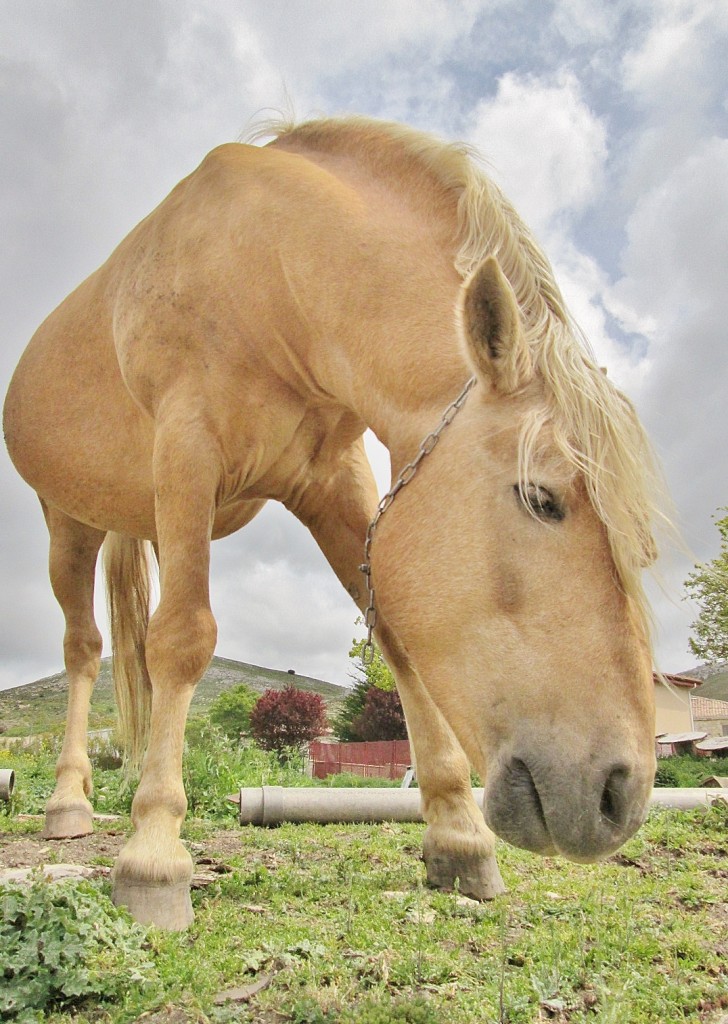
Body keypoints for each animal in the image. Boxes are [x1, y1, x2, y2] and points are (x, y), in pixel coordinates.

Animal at [2, 116, 663, 933]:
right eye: (543, 499)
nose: (619, 795)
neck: (274, 273)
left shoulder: (334, 483)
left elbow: (397, 642)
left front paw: (458, 837)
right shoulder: (187, 448)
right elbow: (183, 639)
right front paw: (153, 853)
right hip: (67, 522)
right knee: (84, 650)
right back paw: (69, 803)